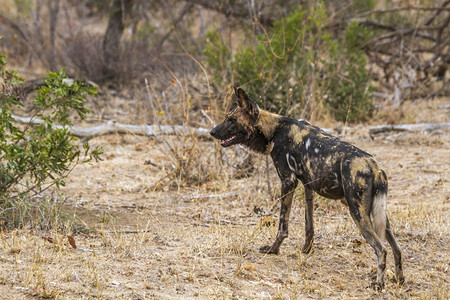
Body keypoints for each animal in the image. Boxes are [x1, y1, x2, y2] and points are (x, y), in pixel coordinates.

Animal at [210, 87, 404, 290]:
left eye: (232, 120)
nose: (212, 132)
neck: (274, 129)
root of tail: (375, 168)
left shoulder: (288, 182)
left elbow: (282, 225)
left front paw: (273, 249)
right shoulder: (308, 186)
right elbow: (309, 225)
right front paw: (307, 249)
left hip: (358, 213)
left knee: (382, 249)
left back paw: (378, 284)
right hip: (379, 215)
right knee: (397, 248)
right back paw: (399, 279)